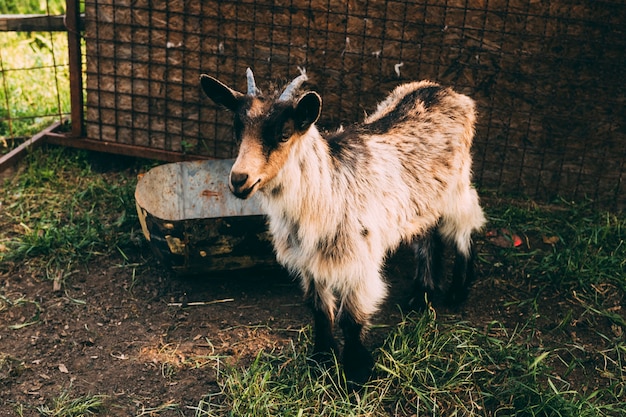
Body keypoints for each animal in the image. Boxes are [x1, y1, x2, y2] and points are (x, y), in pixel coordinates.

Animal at [201, 68, 488, 384]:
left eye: (284, 134)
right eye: (238, 130)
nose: (240, 179)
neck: (327, 190)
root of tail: (446, 91)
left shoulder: (359, 259)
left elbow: (351, 318)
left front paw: (356, 371)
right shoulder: (309, 260)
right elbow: (319, 309)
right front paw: (321, 359)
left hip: (456, 186)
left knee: (466, 224)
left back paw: (458, 290)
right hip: (422, 198)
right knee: (428, 233)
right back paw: (420, 295)